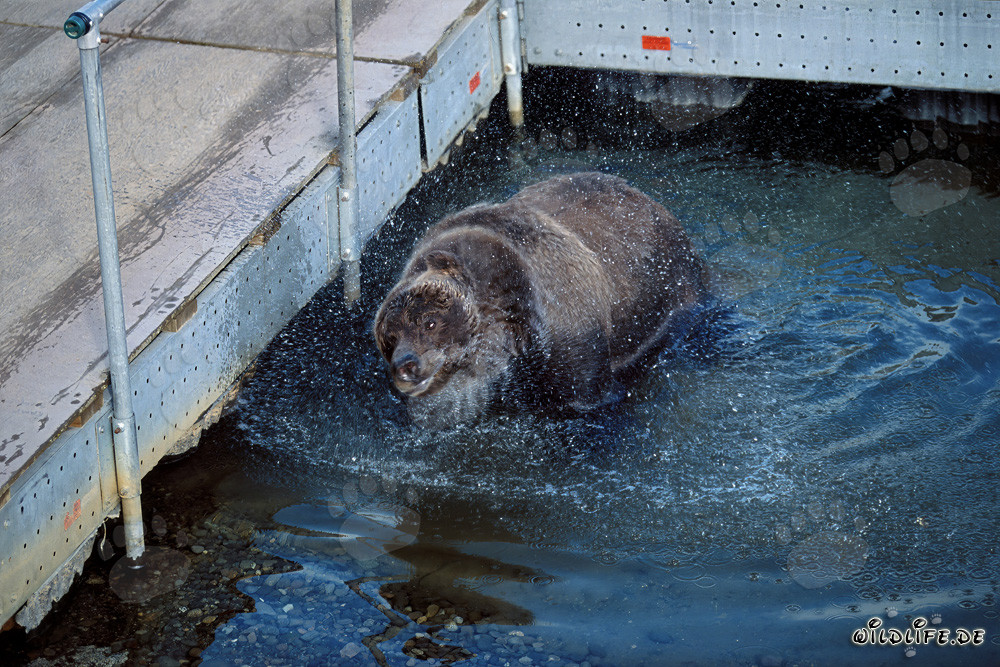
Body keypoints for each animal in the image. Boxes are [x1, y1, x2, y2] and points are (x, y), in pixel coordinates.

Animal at [374, 172, 709, 427]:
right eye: (390, 338)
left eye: (429, 322)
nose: (406, 365)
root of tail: (651, 200)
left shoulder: (570, 330)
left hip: (673, 282)